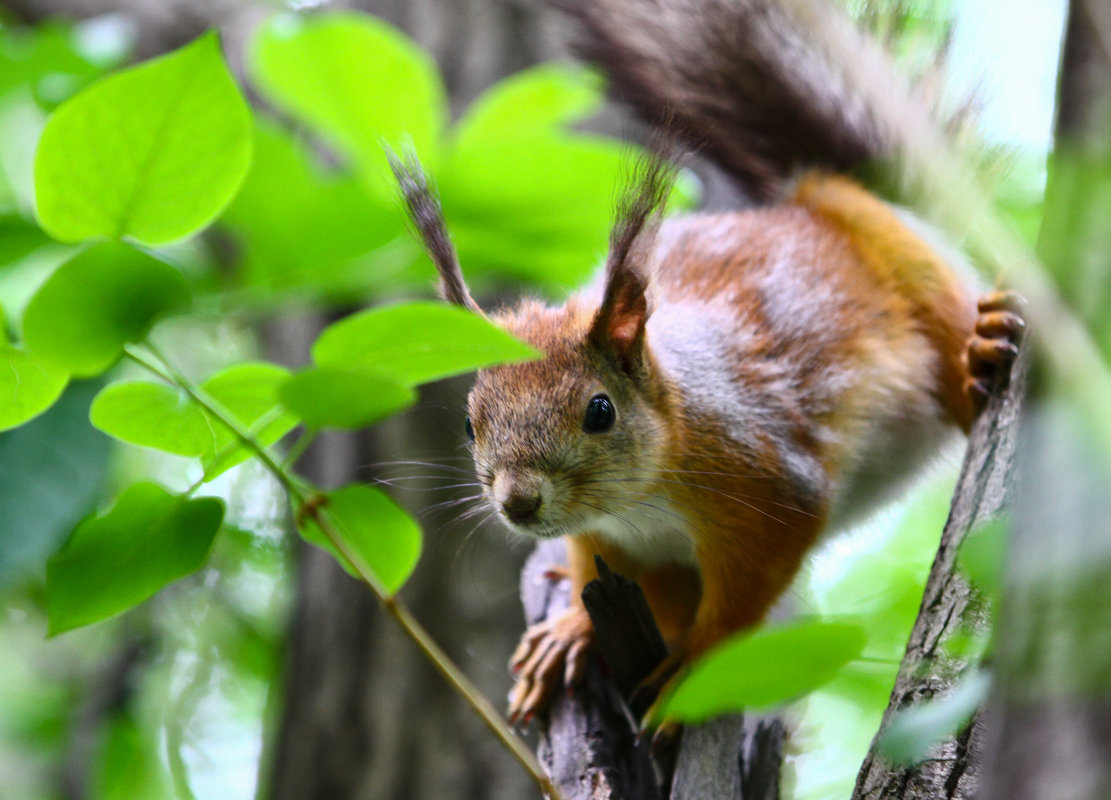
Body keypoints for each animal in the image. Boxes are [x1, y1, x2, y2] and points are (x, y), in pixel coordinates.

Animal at [391, 0, 1022, 724]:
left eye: (600, 411)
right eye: (471, 423)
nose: (518, 503)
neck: (640, 501)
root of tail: (809, 192)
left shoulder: (769, 483)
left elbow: (740, 605)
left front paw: (689, 671)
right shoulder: (609, 542)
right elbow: (595, 573)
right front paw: (572, 630)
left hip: (910, 266)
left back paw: (979, 351)